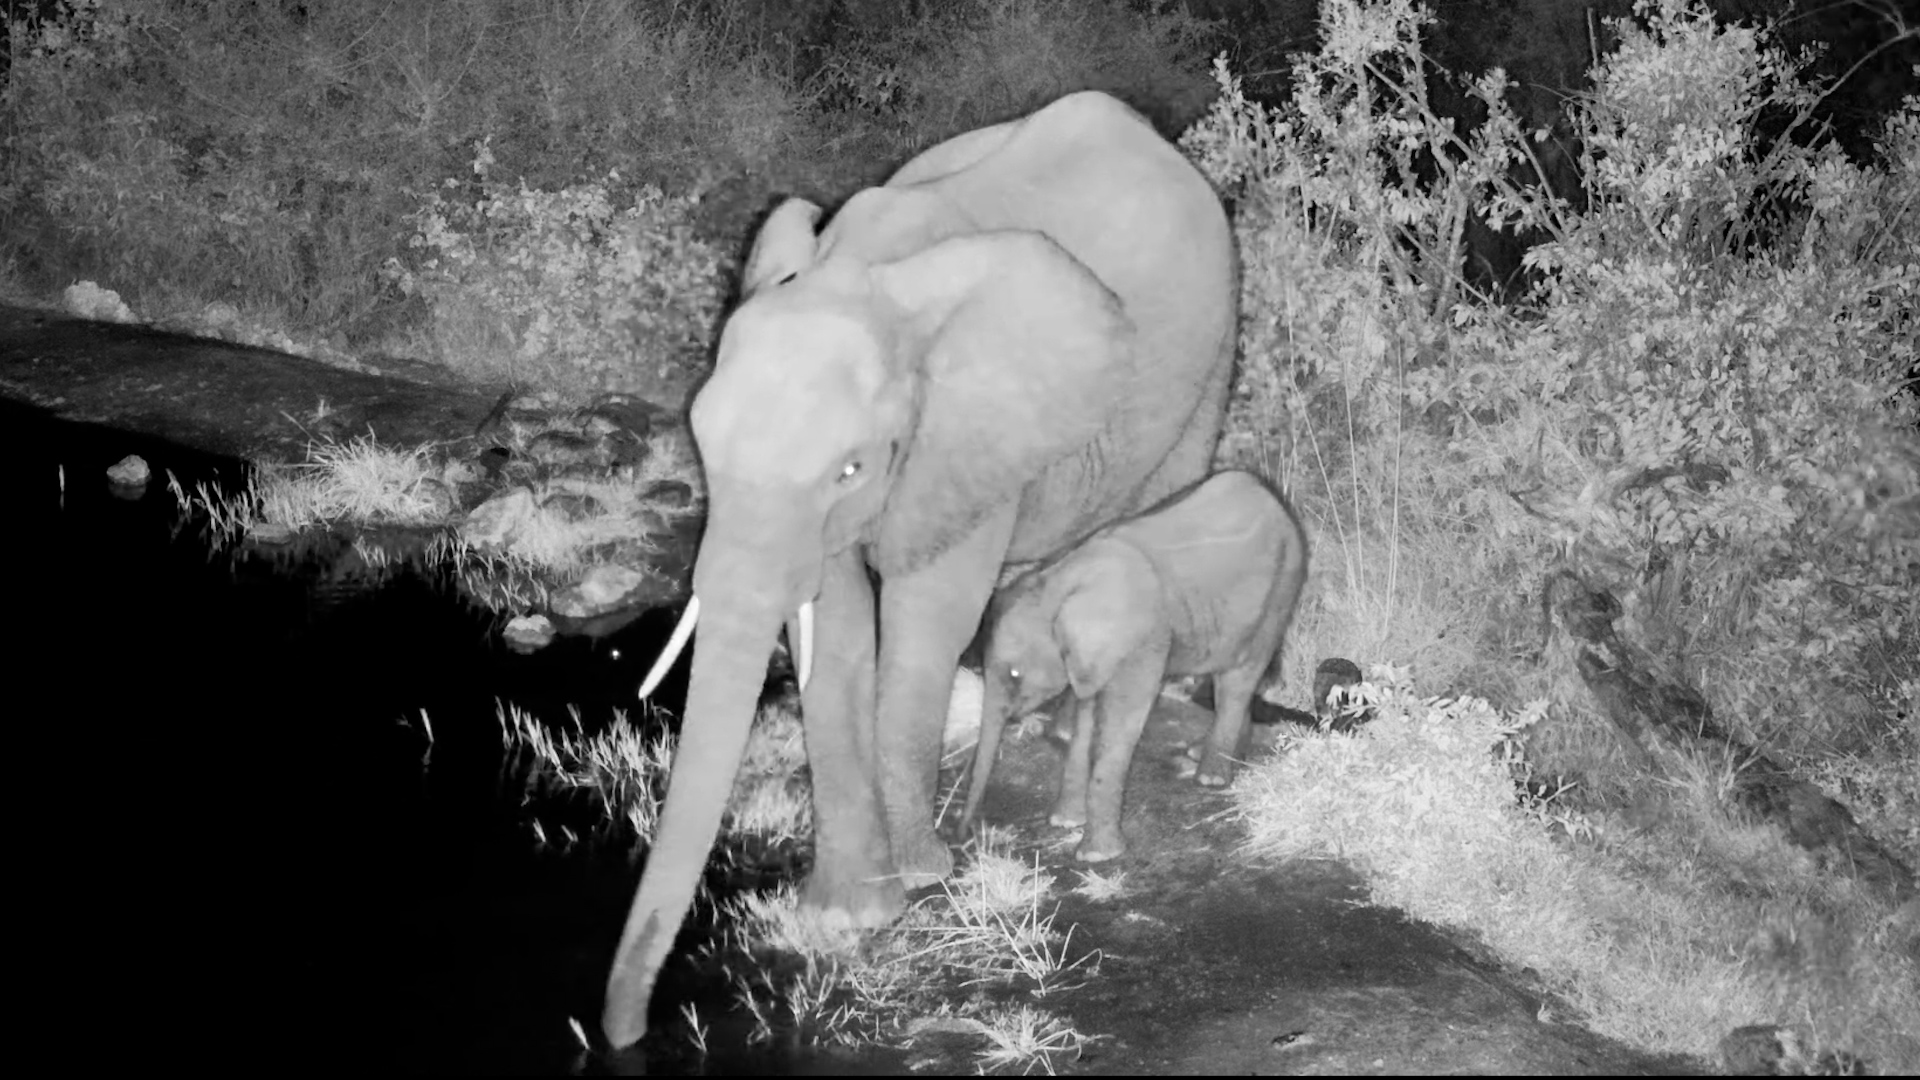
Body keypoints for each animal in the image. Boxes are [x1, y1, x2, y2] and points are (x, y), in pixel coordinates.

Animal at [601, 91, 1238, 1047]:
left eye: (851, 467)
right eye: (701, 441)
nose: (625, 1036)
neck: (862, 272)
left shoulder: (964, 432)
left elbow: (925, 615)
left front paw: (922, 876)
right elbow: (837, 629)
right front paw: (853, 913)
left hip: (1210, 358)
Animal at [957, 470, 1309, 863]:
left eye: (1015, 675)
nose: (963, 837)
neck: (1058, 581)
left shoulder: (1142, 641)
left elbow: (1123, 720)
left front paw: (1096, 856)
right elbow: (1087, 715)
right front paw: (1065, 823)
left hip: (1282, 587)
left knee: (1238, 679)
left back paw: (1211, 778)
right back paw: (1210, 756)